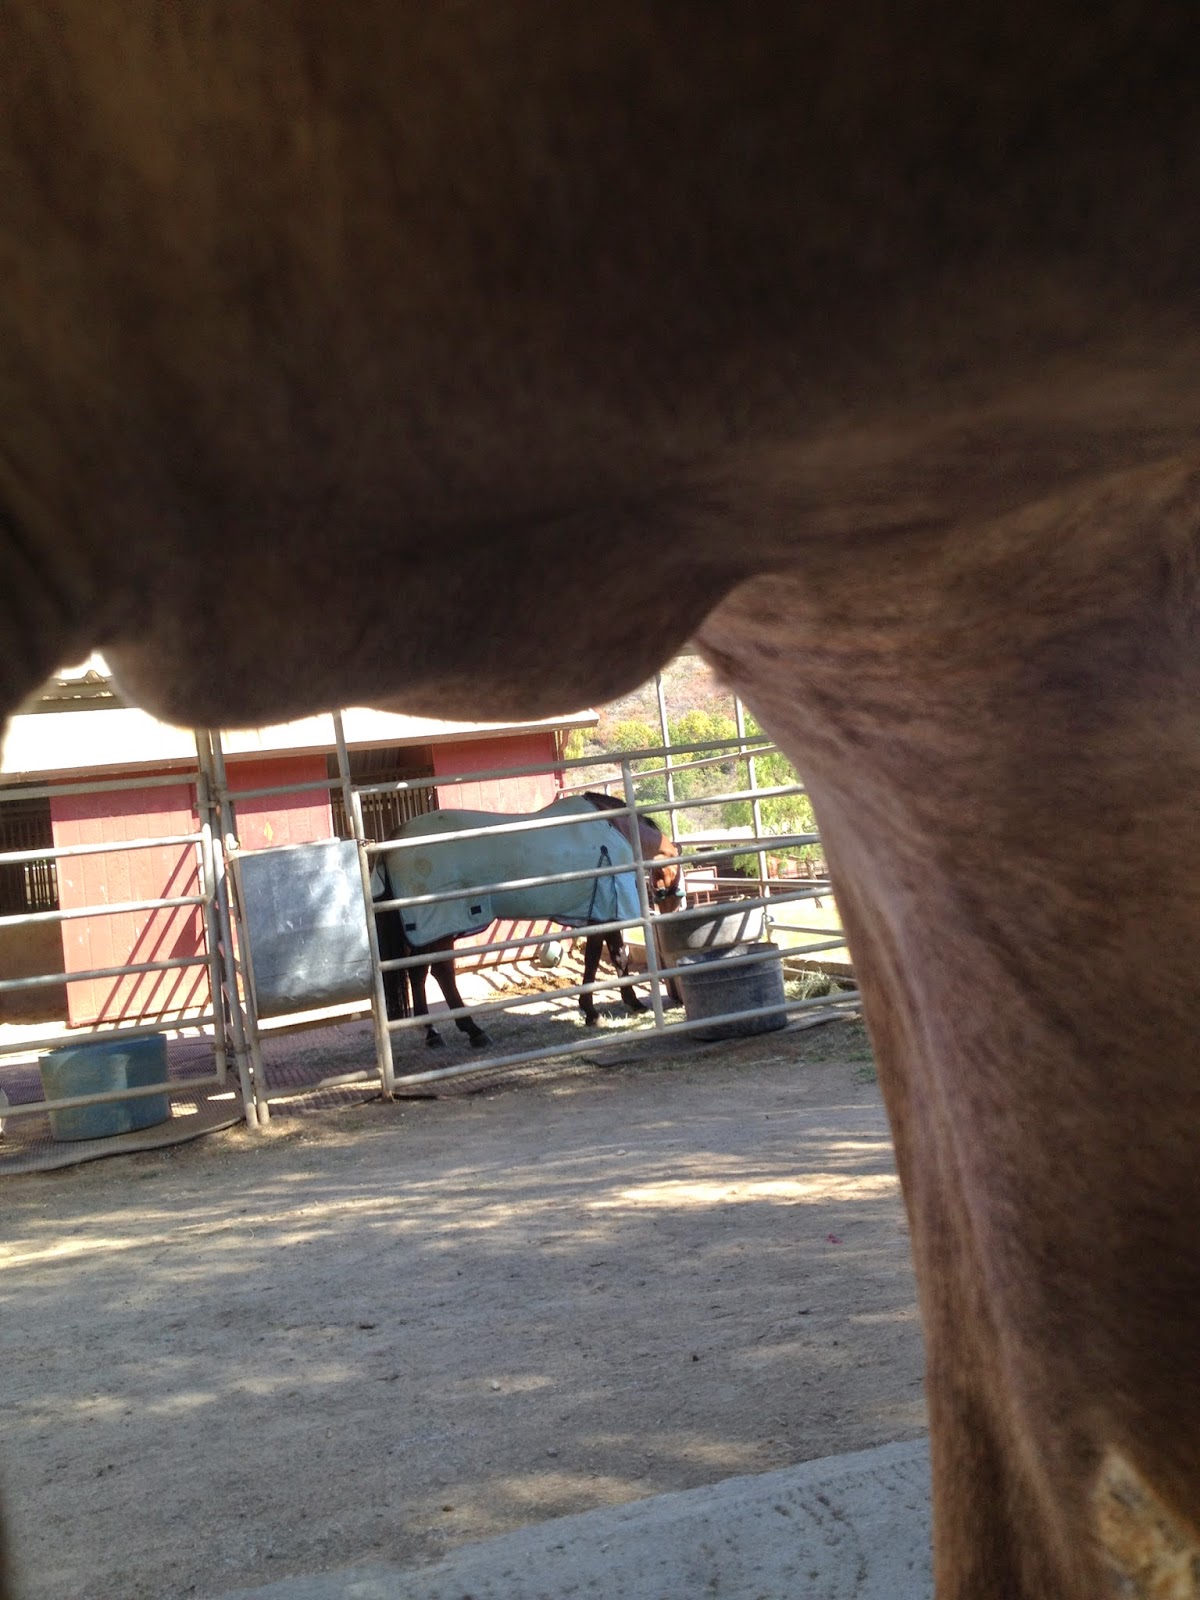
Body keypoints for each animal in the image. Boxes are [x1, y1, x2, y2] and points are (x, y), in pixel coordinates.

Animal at [372, 795, 682, 1049]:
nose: (672, 910)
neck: (616, 829)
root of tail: (394, 839)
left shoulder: (600, 911)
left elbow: (609, 956)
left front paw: (616, 1005)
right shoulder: (604, 911)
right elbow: (605, 958)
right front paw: (604, 1009)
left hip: (428, 930)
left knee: (418, 972)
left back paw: (431, 1032)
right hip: (442, 924)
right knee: (441, 973)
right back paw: (473, 1031)